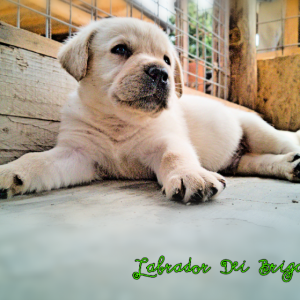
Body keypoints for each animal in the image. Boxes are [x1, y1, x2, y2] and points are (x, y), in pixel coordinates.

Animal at [0, 17, 300, 203]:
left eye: (167, 60)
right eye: (121, 49)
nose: (161, 73)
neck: (120, 121)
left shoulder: (166, 139)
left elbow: (174, 155)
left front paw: (190, 174)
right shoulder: (78, 154)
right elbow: (37, 159)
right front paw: (10, 172)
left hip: (262, 132)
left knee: (282, 142)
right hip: (240, 160)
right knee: (253, 162)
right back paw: (289, 166)